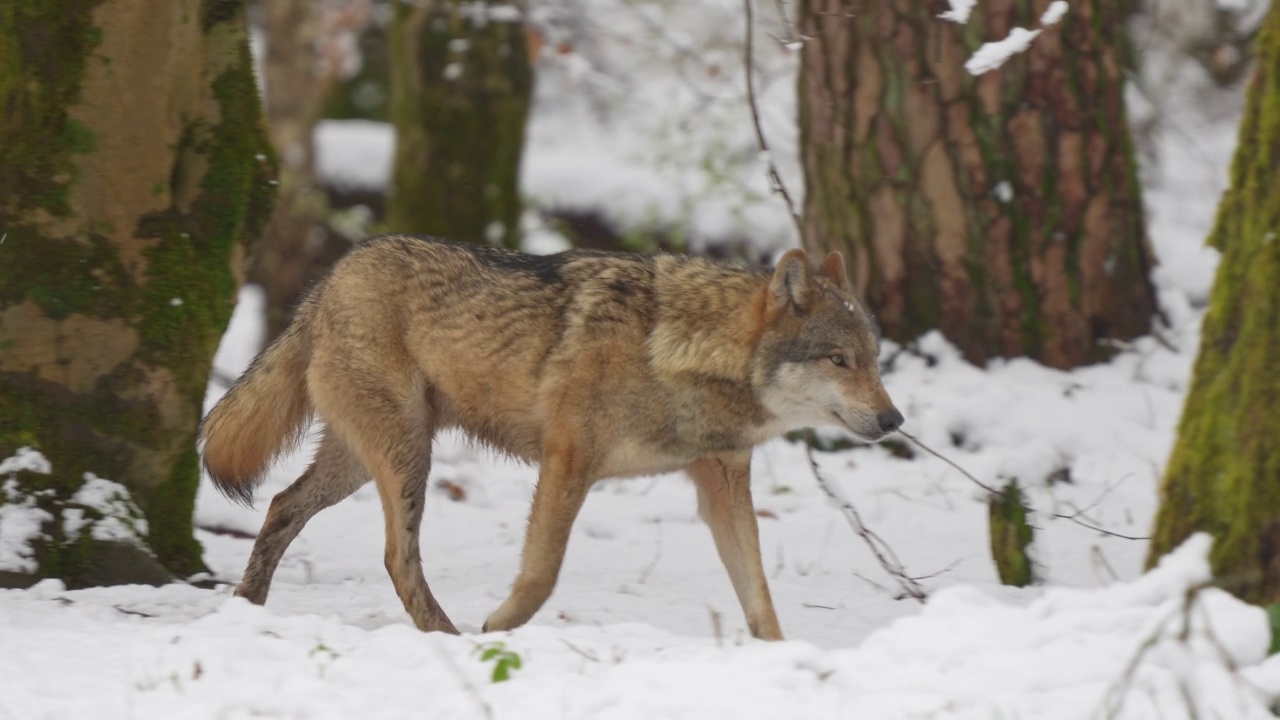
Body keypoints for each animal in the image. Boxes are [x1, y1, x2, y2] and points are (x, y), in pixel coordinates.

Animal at [202, 233, 901, 635]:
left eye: (873, 360)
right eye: (839, 361)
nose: (895, 420)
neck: (678, 353)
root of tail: (328, 278)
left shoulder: (722, 483)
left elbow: (760, 598)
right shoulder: (568, 463)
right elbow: (541, 577)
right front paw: (498, 630)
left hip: (361, 462)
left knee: (281, 504)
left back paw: (246, 608)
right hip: (407, 459)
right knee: (396, 555)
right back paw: (448, 636)